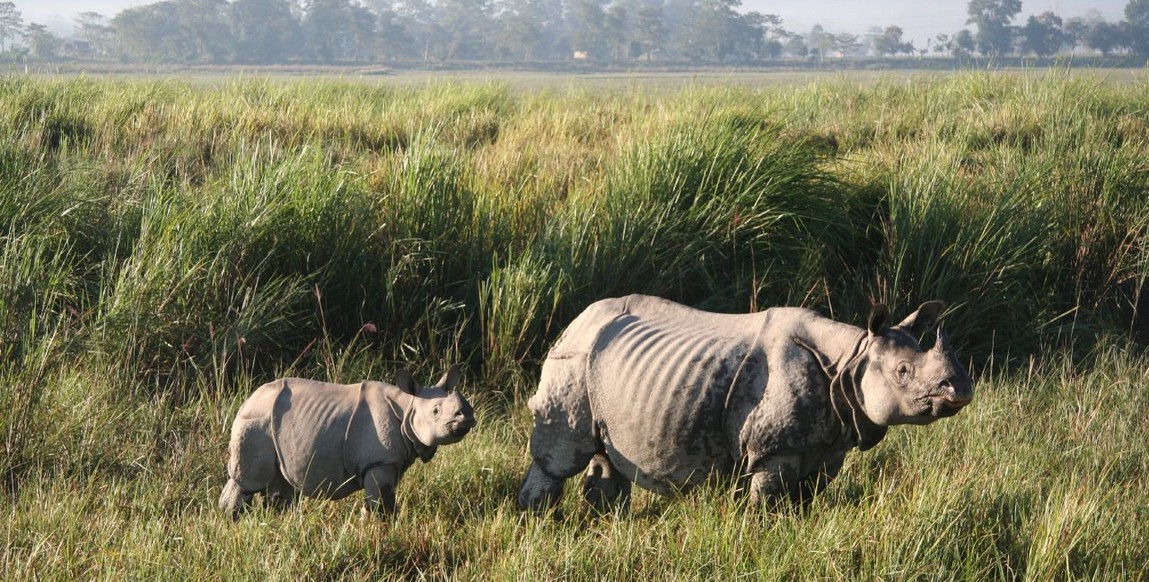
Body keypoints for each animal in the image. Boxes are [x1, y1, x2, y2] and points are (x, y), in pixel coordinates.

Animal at [219, 367, 475, 516]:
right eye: (435, 411)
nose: (467, 417)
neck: (407, 407)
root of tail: (248, 398)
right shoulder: (378, 462)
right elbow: (381, 503)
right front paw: (379, 530)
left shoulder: (393, 462)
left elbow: (385, 500)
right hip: (255, 421)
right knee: (247, 481)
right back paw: (231, 520)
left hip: (272, 423)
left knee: (280, 485)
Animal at [517, 296, 974, 509]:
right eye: (903, 372)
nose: (960, 390)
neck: (852, 358)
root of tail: (576, 319)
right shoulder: (773, 449)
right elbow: (768, 500)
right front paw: (763, 531)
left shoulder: (826, 444)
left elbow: (805, 500)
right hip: (573, 358)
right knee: (562, 454)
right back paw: (537, 518)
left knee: (603, 452)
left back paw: (603, 521)